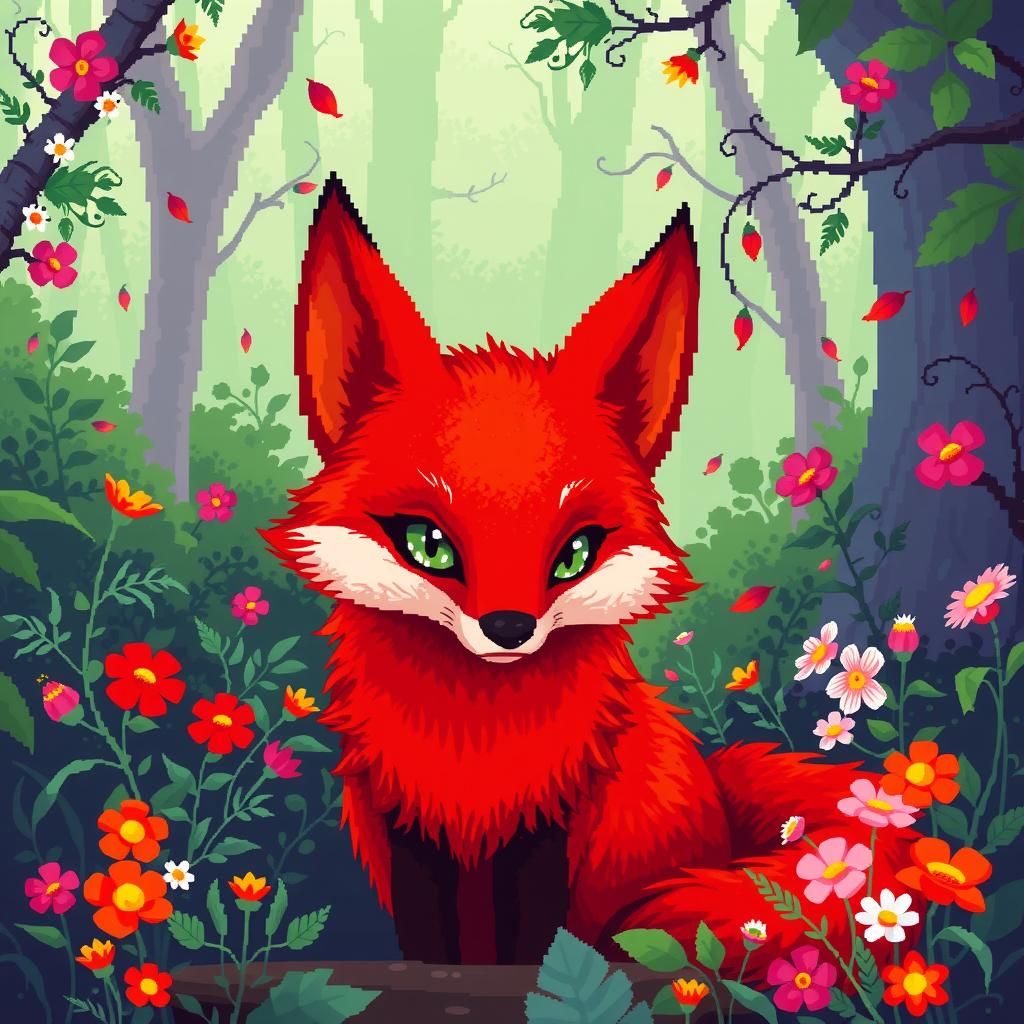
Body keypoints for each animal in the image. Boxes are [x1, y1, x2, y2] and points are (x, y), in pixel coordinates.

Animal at [264, 176, 917, 976]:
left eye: (574, 552)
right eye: (428, 544)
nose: (508, 629)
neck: (473, 748)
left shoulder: (551, 824)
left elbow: (528, 948)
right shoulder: (411, 829)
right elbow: (435, 945)